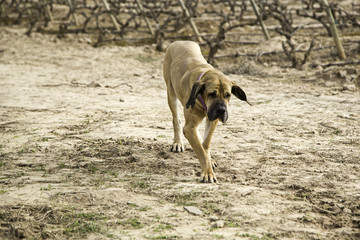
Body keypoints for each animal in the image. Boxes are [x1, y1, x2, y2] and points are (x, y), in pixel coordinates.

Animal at [163, 41, 250, 183]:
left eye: (228, 95)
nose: (221, 110)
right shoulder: (189, 127)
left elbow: (205, 143)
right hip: (171, 94)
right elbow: (200, 150)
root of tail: (180, 41)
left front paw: (209, 159)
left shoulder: (212, 120)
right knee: (176, 119)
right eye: (211, 94)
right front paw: (208, 173)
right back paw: (177, 143)